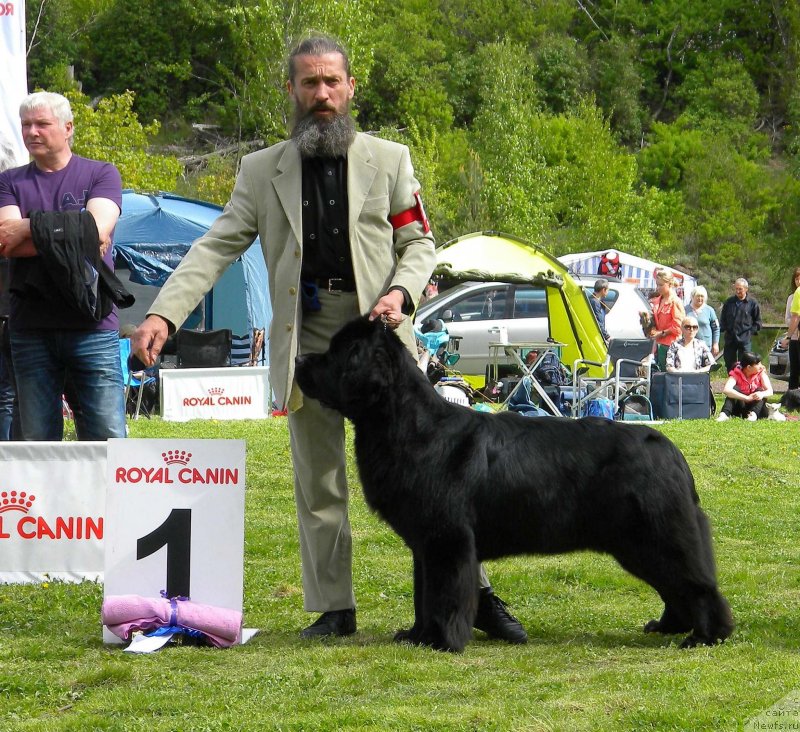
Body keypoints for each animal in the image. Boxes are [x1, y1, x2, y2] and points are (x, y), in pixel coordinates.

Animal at [294, 314, 732, 652]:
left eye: (336, 354)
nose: (299, 360)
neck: (410, 426)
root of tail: (669, 449)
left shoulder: (448, 541)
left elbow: (445, 594)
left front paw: (443, 641)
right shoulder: (425, 544)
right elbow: (424, 593)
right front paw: (417, 636)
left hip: (656, 534)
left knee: (697, 584)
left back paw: (706, 636)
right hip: (639, 541)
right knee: (675, 585)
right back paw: (671, 626)